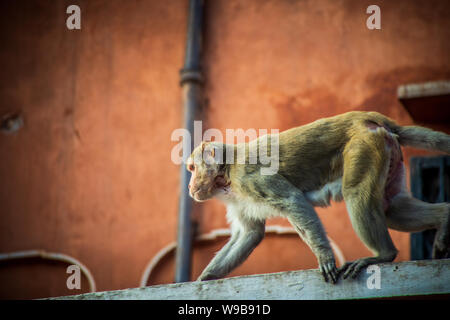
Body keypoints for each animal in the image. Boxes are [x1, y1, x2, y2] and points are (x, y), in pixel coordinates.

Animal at [185, 111, 448, 284]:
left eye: (192, 168)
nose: (189, 186)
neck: (227, 173)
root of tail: (365, 117)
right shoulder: (239, 199)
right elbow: (250, 234)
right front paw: (205, 278)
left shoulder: (251, 178)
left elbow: (293, 201)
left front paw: (325, 256)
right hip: (387, 151)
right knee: (391, 207)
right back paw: (444, 217)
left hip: (364, 146)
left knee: (357, 193)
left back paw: (384, 255)